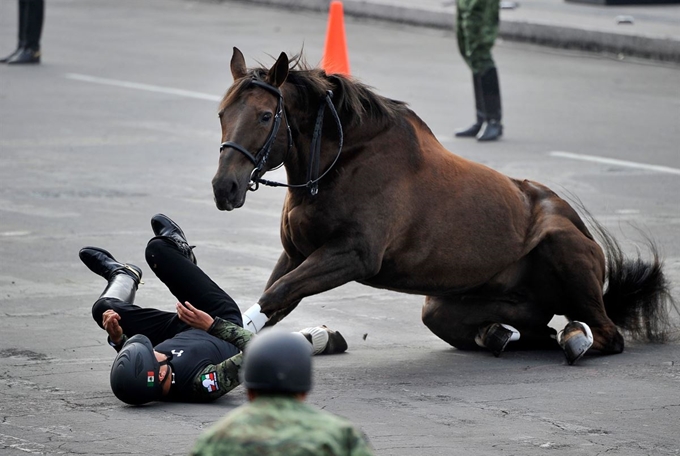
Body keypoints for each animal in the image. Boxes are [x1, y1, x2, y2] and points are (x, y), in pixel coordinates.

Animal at [211, 49, 676, 364]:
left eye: (266, 116)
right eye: (222, 113)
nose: (224, 187)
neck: (342, 163)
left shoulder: (350, 256)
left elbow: (276, 294)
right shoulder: (297, 254)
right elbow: (275, 298)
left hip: (563, 250)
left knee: (604, 334)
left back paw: (575, 339)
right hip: (440, 307)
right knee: (539, 332)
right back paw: (500, 334)